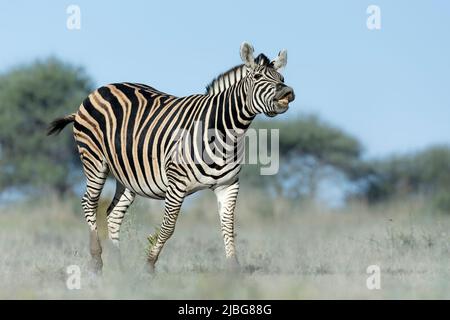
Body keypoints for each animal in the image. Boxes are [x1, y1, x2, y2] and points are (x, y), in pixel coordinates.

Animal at [47, 42, 296, 272]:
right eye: (257, 76)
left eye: (282, 77)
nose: (287, 93)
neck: (226, 132)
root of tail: (100, 90)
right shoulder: (177, 182)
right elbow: (168, 227)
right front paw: (149, 265)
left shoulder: (228, 185)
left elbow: (228, 226)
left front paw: (234, 270)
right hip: (95, 161)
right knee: (89, 203)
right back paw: (97, 261)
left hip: (126, 176)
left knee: (113, 214)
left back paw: (120, 268)